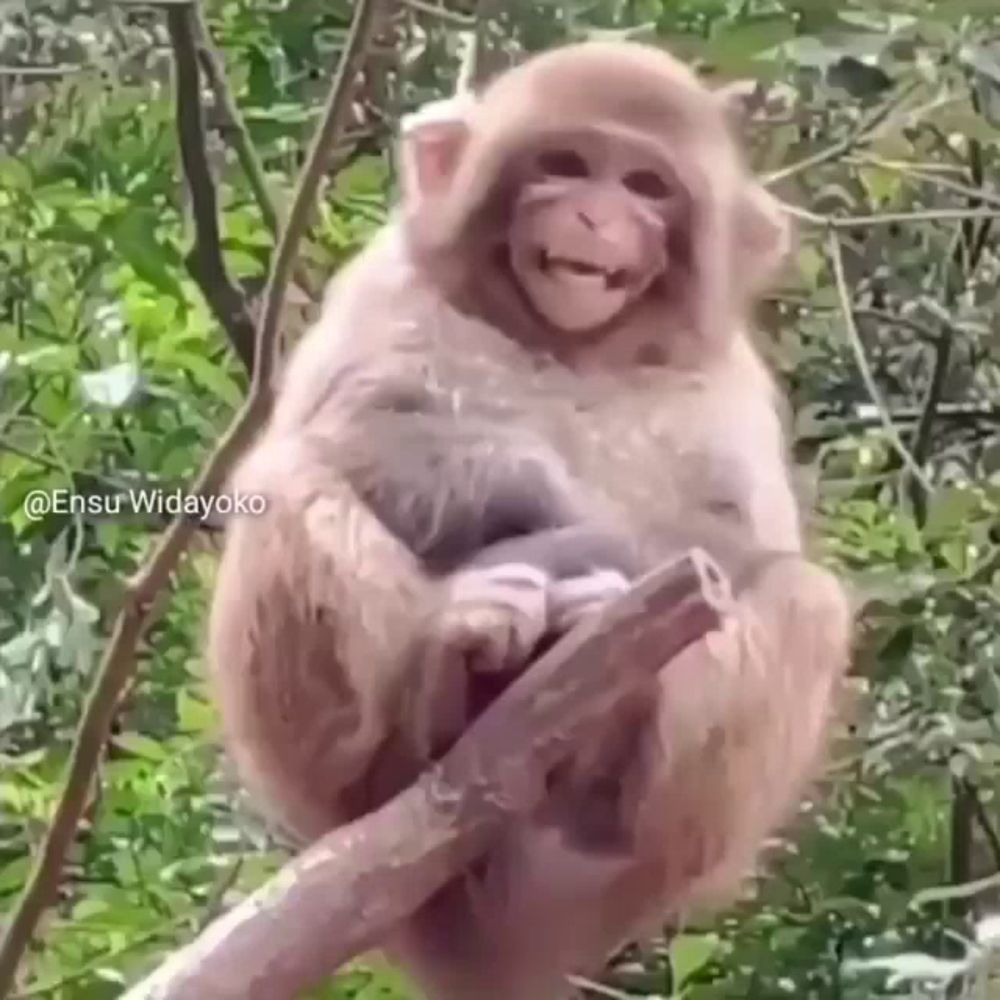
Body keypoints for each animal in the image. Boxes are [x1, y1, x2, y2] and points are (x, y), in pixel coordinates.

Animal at [209, 39, 852, 1000]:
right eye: (565, 165)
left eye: (645, 185)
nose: (594, 216)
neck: (573, 344)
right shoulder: (388, 282)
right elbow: (356, 431)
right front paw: (551, 518)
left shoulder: (722, 377)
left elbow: (738, 536)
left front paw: (603, 574)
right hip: (317, 790)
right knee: (285, 481)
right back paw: (437, 684)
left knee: (808, 601)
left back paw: (608, 755)